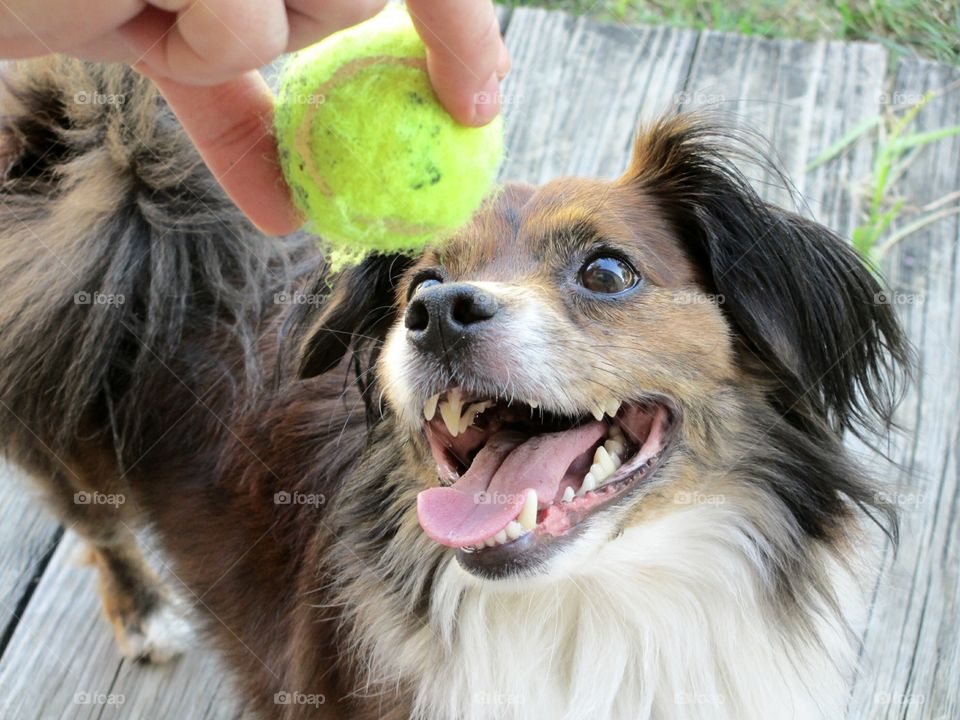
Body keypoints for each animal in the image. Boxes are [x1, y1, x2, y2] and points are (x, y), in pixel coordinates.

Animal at [0, 57, 912, 720]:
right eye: (422, 283)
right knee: (99, 525)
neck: (592, 605)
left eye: (608, 271)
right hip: (69, 451)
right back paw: (145, 610)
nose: (437, 314)